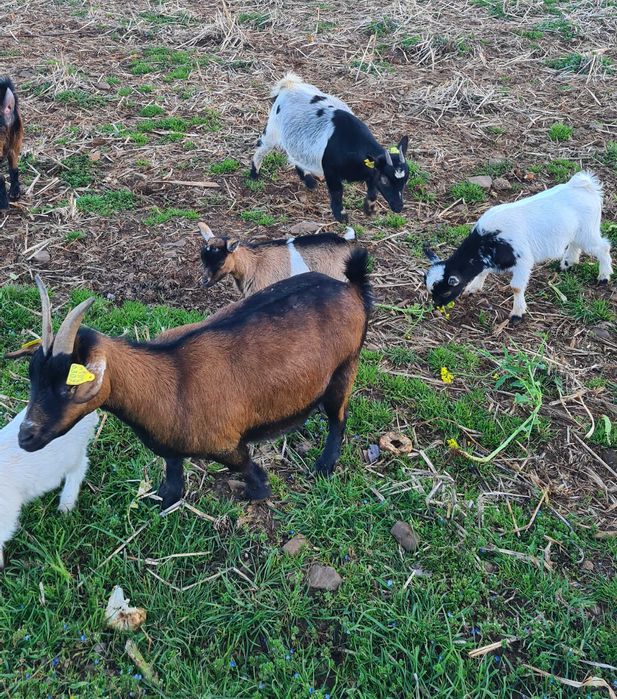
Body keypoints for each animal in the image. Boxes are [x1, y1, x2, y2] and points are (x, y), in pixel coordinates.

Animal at [14, 262, 372, 509]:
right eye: (32, 376)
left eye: (67, 387)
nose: (25, 437)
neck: (168, 380)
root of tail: (351, 289)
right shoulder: (171, 444)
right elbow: (173, 472)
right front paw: (164, 500)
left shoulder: (226, 441)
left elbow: (245, 465)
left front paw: (259, 492)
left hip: (345, 367)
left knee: (338, 417)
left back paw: (325, 465)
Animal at [250, 72, 410, 223]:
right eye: (385, 180)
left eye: (405, 181)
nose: (398, 207)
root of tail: (289, 85)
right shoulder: (329, 168)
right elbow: (337, 191)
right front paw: (341, 216)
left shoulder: (371, 169)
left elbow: (372, 188)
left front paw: (369, 209)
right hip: (272, 129)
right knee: (262, 148)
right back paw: (254, 174)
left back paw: (309, 181)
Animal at [424, 171, 612, 325]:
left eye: (446, 292)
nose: (436, 306)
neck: (488, 239)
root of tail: (584, 185)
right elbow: (483, 272)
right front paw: (473, 288)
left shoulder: (523, 260)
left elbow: (516, 287)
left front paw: (517, 314)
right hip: (577, 232)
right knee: (574, 244)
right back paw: (567, 264)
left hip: (588, 231)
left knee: (603, 247)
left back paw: (603, 277)